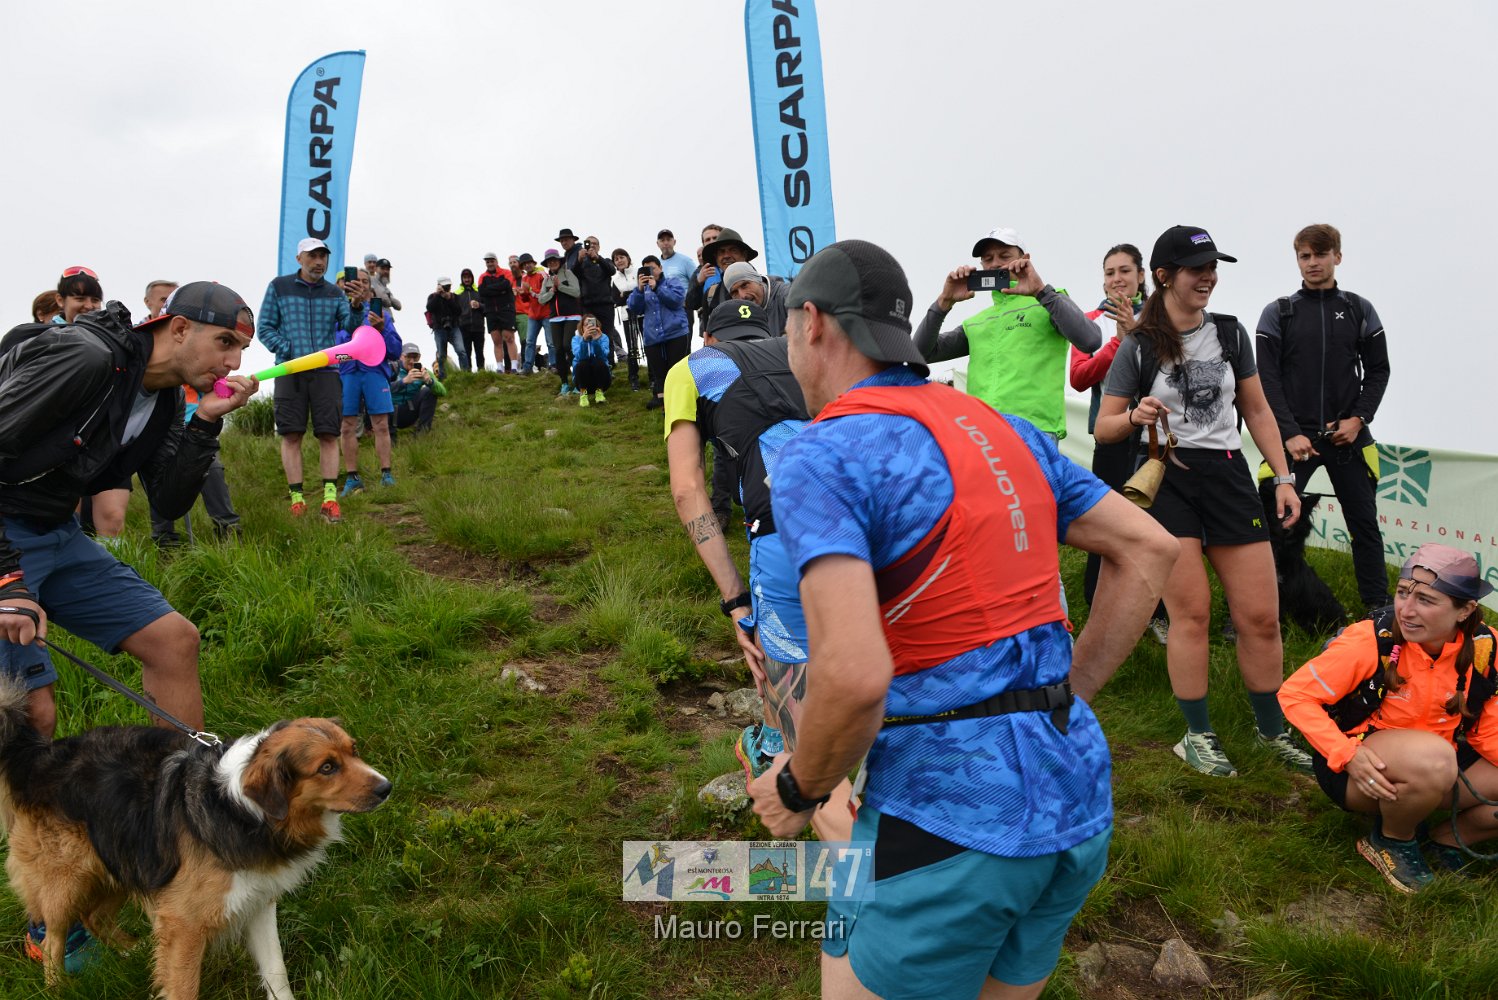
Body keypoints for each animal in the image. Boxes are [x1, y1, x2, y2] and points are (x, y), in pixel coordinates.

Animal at [0, 675, 390, 999]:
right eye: (327, 767)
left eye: (354, 750)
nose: (387, 788)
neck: (241, 810)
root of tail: (39, 754)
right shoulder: (184, 925)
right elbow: (184, 987)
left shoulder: (257, 901)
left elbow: (275, 971)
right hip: (67, 881)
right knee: (53, 940)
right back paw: (57, 988)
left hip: (124, 861)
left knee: (96, 917)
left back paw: (132, 949)